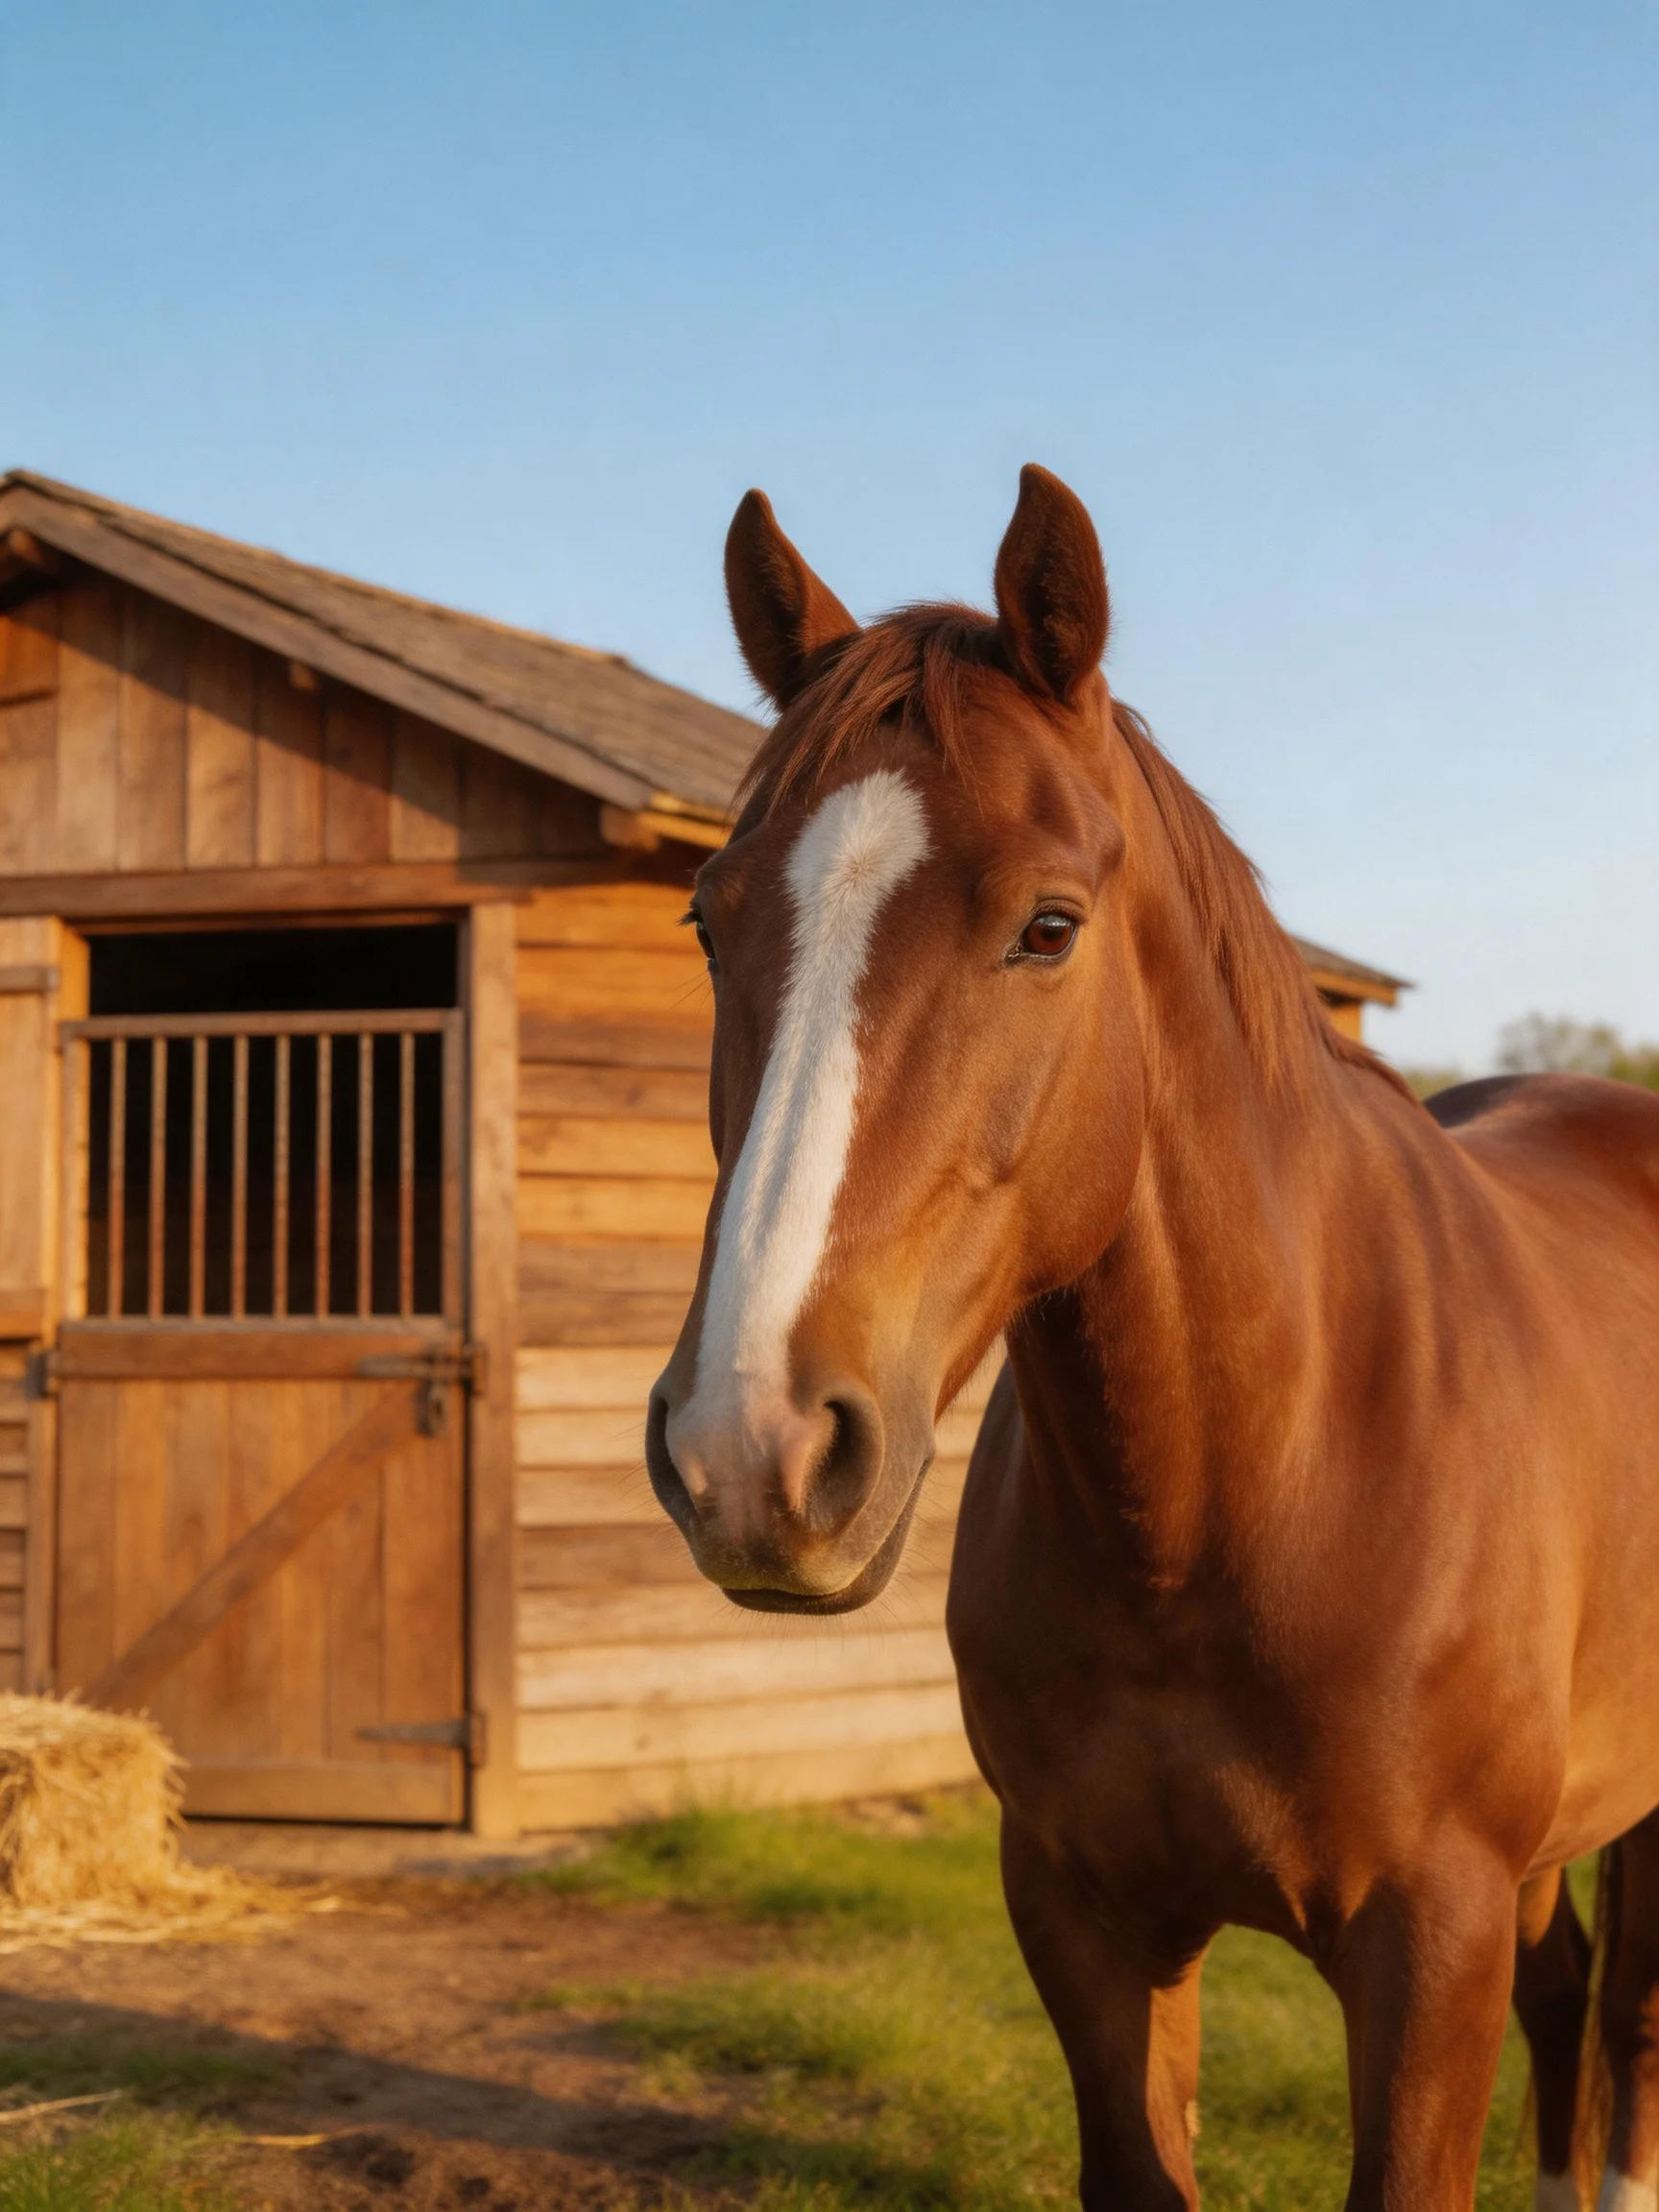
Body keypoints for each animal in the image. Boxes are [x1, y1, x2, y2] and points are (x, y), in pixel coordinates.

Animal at [644, 463, 1659, 2211]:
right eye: (709, 926)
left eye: (1049, 926)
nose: (750, 1450)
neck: (1240, 1485)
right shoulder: (1086, 1919)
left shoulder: (1428, 1946)